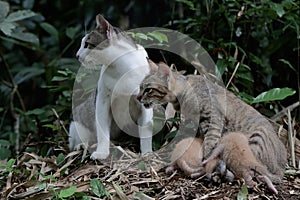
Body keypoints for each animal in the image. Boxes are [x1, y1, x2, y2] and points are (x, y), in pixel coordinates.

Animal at [69, 14, 154, 159]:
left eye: (87, 44)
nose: (77, 55)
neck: (121, 66)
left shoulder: (146, 103)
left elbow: (146, 132)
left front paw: (147, 154)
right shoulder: (102, 100)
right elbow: (102, 129)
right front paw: (102, 152)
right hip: (76, 125)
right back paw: (81, 146)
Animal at [137, 60, 288, 182]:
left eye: (148, 90)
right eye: (140, 87)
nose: (137, 97)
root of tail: (283, 163)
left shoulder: (212, 119)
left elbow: (209, 147)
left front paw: (207, 166)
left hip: (256, 138)